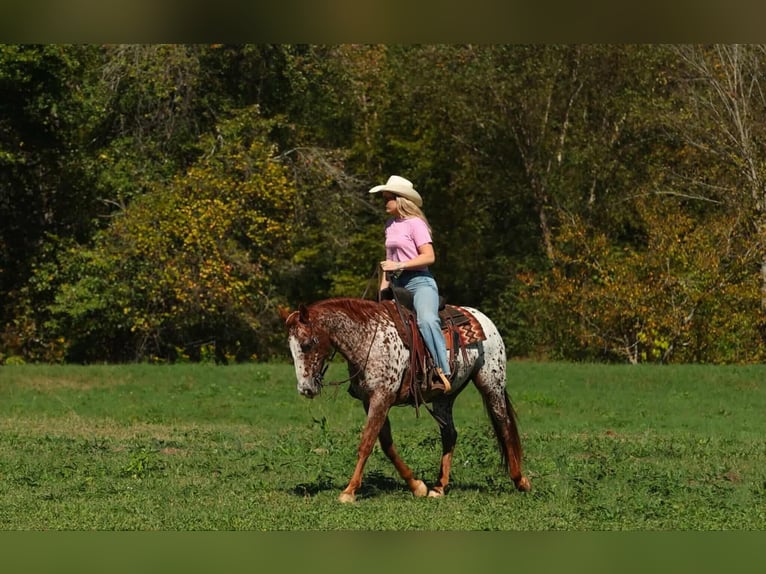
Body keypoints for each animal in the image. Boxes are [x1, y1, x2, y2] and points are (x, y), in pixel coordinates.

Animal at [279, 297, 531, 502]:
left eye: (306, 344)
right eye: (290, 348)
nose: (306, 389)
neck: (368, 338)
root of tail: (482, 318)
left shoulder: (382, 397)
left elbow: (366, 443)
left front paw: (349, 491)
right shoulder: (371, 400)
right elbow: (386, 444)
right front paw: (417, 486)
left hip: (492, 383)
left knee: (503, 424)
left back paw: (520, 480)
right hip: (444, 396)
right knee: (449, 434)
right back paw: (439, 487)